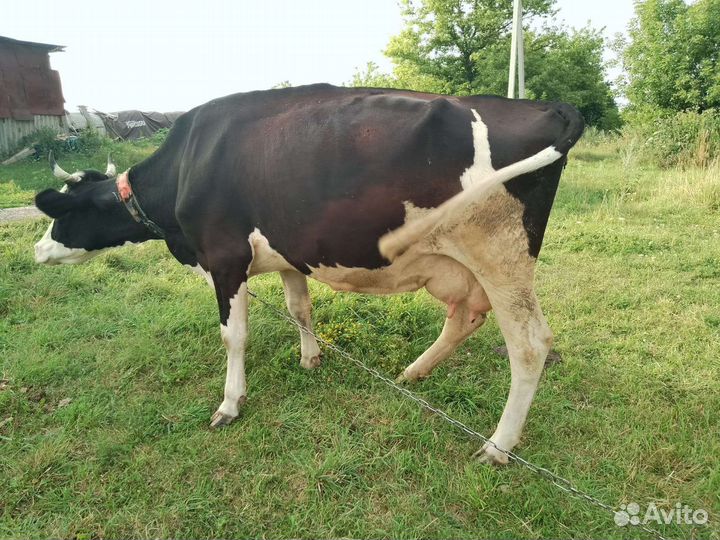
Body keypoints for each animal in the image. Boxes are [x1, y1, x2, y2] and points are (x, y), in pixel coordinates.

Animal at [33, 84, 584, 465]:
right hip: (465, 265)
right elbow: (299, 308)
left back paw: (498, 446)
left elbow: (234, 335)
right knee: (464, 317)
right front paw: (311, 358)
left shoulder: (225, 258)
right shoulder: (286, 255)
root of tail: (543, 105)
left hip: (501, 256)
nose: (38, 250)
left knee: (530, 345)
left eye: (62, 213)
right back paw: (413, 372)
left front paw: (230, 403)